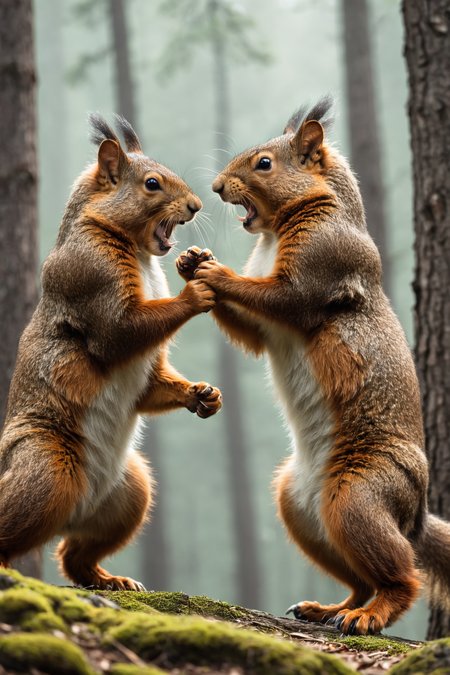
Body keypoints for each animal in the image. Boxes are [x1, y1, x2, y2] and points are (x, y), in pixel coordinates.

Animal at [0, 114, 222, 591]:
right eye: (152, 184)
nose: (196, 205)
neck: (138, 251)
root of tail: (73, 511)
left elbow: (153, 384)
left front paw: (203, 395)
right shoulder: (90, 278)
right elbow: (121, 330)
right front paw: (194, 292)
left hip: (130, 494)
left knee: (74, 555)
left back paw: (110, 580)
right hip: (45, 470)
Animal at [176, 97, 450, 635]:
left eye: (264, 164)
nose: (216, 186)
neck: (277, 232)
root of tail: (413, 516)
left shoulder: (319, 269)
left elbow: (280, 295)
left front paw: (214, 270)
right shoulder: (263, 329)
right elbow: (252, 329)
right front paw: (191, 260)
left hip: (359, 496)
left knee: (402, 579)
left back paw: (367, 616)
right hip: (300, 510)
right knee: (361, 579)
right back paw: (329, 608)